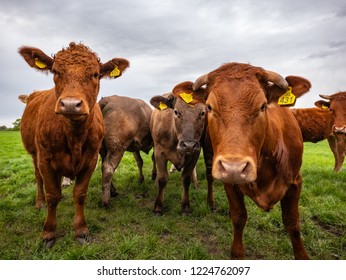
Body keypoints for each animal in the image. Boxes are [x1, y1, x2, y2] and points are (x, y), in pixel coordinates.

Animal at [19, 42, 130, 247]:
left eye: (95, 74)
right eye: (55, 71)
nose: (70, 104)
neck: (74, 137)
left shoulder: (91, 159)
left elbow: (79, 194)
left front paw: (81, 230)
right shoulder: (45, 159)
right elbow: (52, 195)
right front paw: (48, 233)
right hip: (34, 154)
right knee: (39, 179)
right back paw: (39, 202)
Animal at [149, 81, 208, 214]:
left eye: (202, 113)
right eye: (176, 112)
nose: (188, 144)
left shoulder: (195, 153)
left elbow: (186, 179)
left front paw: (185, 206)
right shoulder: (160, 152)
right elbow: (162, 179)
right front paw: (158, 207)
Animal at [192, 62, 310, 260]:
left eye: (262, 106)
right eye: (209, 107)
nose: (234, 168)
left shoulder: (295, 181)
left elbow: (293, 224)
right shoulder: (229, 182)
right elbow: (239, 217)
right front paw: (237, 253)